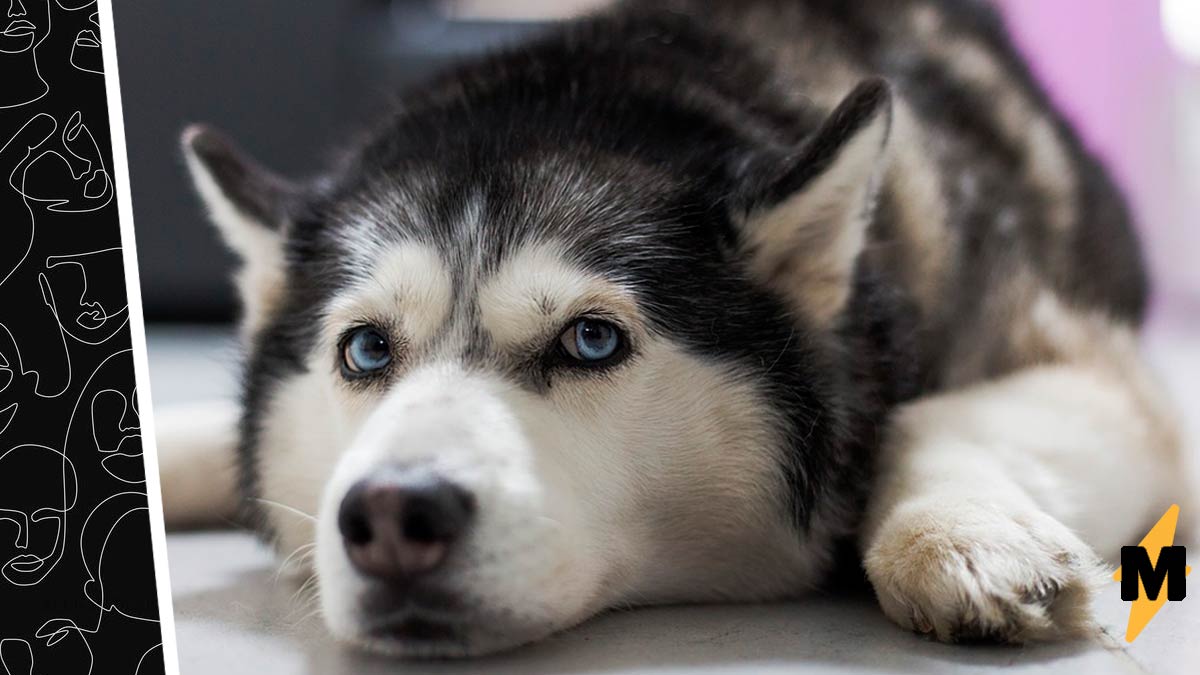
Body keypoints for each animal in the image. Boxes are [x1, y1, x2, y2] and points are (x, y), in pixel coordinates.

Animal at [162, 0, 1190, 653]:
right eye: (367, 348)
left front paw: (961, 534)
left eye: (592, 340)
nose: (389, 514)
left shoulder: (1099, 371)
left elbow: (923, 415)